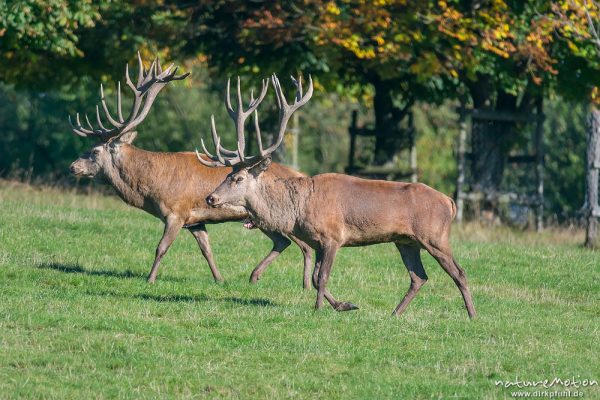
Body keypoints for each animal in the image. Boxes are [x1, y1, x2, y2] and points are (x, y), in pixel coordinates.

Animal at [69, 54, 314, 290]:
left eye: (94, 151)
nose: (73, 166)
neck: (151, 189)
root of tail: (301, 175)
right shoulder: (195, 220)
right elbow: (206, 249)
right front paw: (219, 279)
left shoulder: (176, 212)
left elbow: (161, 247)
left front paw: (150, 279)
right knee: (283, 241)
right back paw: (256, 277)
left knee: (304, 245)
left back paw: (304, 285)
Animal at [199, 75, 476, 318]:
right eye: (228, 174)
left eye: (238, 178)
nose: (211, 198)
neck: (296, 210)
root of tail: (449, 202)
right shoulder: (317, 242)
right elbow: (314, 277)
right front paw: (346, 305)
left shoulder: (332, 237)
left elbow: (321, 277)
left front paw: (319, 309)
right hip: (406, 241)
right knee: (419, 277)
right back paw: (394, 314)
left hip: (435, 236)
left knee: (459, 272)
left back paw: (472, 315)